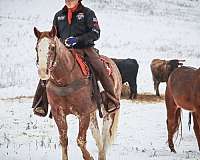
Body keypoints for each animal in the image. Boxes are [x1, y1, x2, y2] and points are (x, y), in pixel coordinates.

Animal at [33, 25, 122, 159]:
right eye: (36, 48)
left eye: (52, 47)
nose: (43, 72)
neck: (65, 80)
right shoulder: (59, 114)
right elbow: (64, 140)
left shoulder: (83, 114)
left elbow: (80, 140)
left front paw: (89, 157)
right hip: (92, 114)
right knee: (97, 135)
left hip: (108, 111)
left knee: (105, 135)